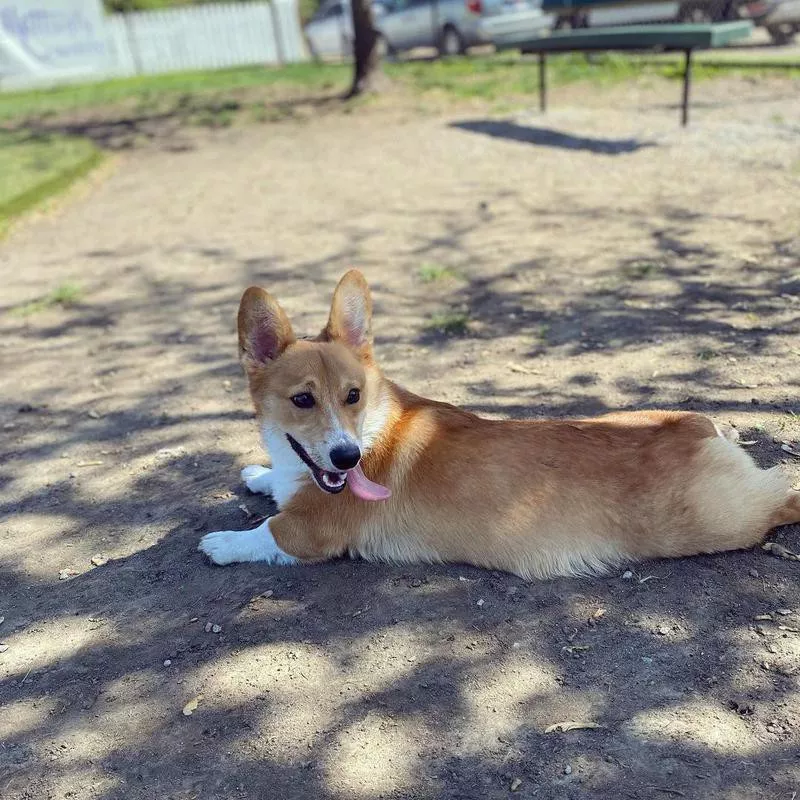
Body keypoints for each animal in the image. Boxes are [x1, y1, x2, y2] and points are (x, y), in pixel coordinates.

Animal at [200, 272, 800, 580]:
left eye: (353, 396)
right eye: (302, 400)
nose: (348, 459)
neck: (369, 430)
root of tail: (696, 433)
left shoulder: (312, 532)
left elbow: (268, 531)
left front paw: (223, 541)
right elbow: (270, 484)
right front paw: (259, 475)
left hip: (729, 518)